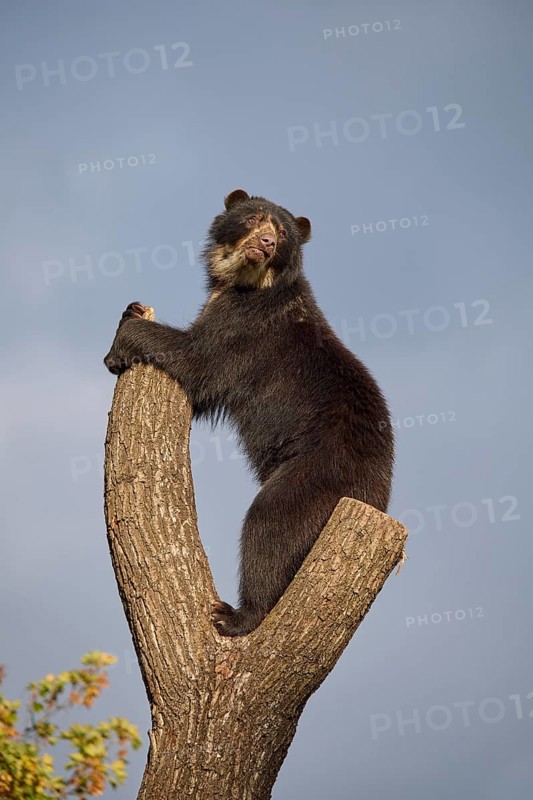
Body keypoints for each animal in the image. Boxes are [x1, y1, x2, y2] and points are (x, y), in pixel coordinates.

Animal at [104, 189, 394, 636]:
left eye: (282, 232)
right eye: (255, 217)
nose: (267, 243)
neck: (246, 283)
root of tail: (379, 499)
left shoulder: (247, 329)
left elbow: (198, 360)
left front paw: (117, 348)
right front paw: (132, 308)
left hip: (318, 474)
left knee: (271, 523)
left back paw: (237, 614)